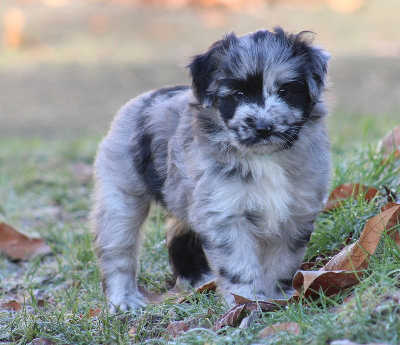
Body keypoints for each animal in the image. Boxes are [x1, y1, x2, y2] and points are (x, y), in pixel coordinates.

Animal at [90, 27, 332, 312]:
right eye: (238, 94)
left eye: (285, 90)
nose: (263, 128)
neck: (263, 158)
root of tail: (143, 99)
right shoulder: (225, 213)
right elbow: (238, 266)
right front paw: (246, 301)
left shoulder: (295, 214)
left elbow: (283, 261)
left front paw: (276, 297)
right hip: (121, 198)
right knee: (118, 250)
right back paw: (123, 300)